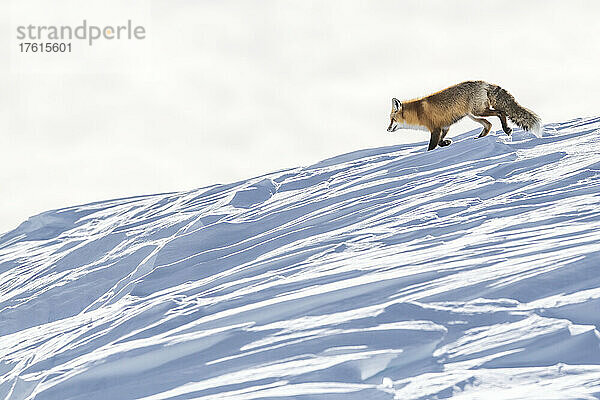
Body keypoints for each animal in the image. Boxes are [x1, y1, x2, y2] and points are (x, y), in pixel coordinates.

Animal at [386, 79, 540, 150]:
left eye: (392, 120)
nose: (387, 129)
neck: (418, 112)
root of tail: (484, 83)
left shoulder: (435, 129)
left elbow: (432, 146)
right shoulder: (444, 126)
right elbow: (441, 141)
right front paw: (447, 143)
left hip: (477, 111)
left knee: (500, 112)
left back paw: (506, 129)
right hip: (474, 115)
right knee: (488, 124)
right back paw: (480, 138)